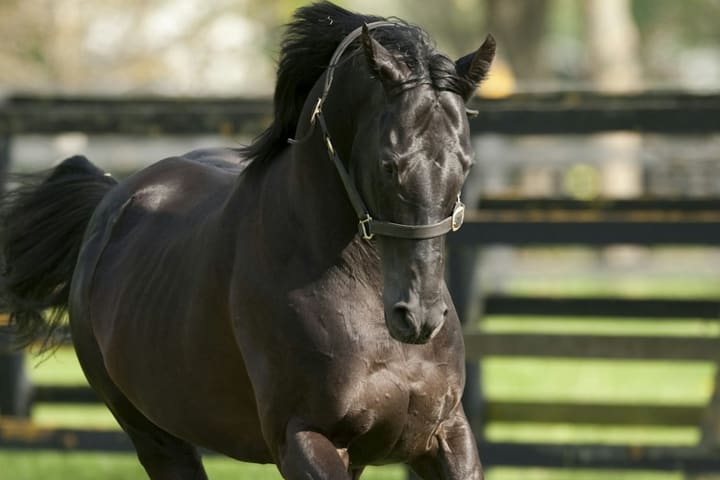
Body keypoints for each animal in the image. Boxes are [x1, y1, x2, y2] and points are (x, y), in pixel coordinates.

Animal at [0, 2, 494, 478]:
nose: (419, 317)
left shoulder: (445, 435)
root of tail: (111, 199)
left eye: (466, 163)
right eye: (390, 163)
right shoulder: (303, 438)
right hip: (155, 437)